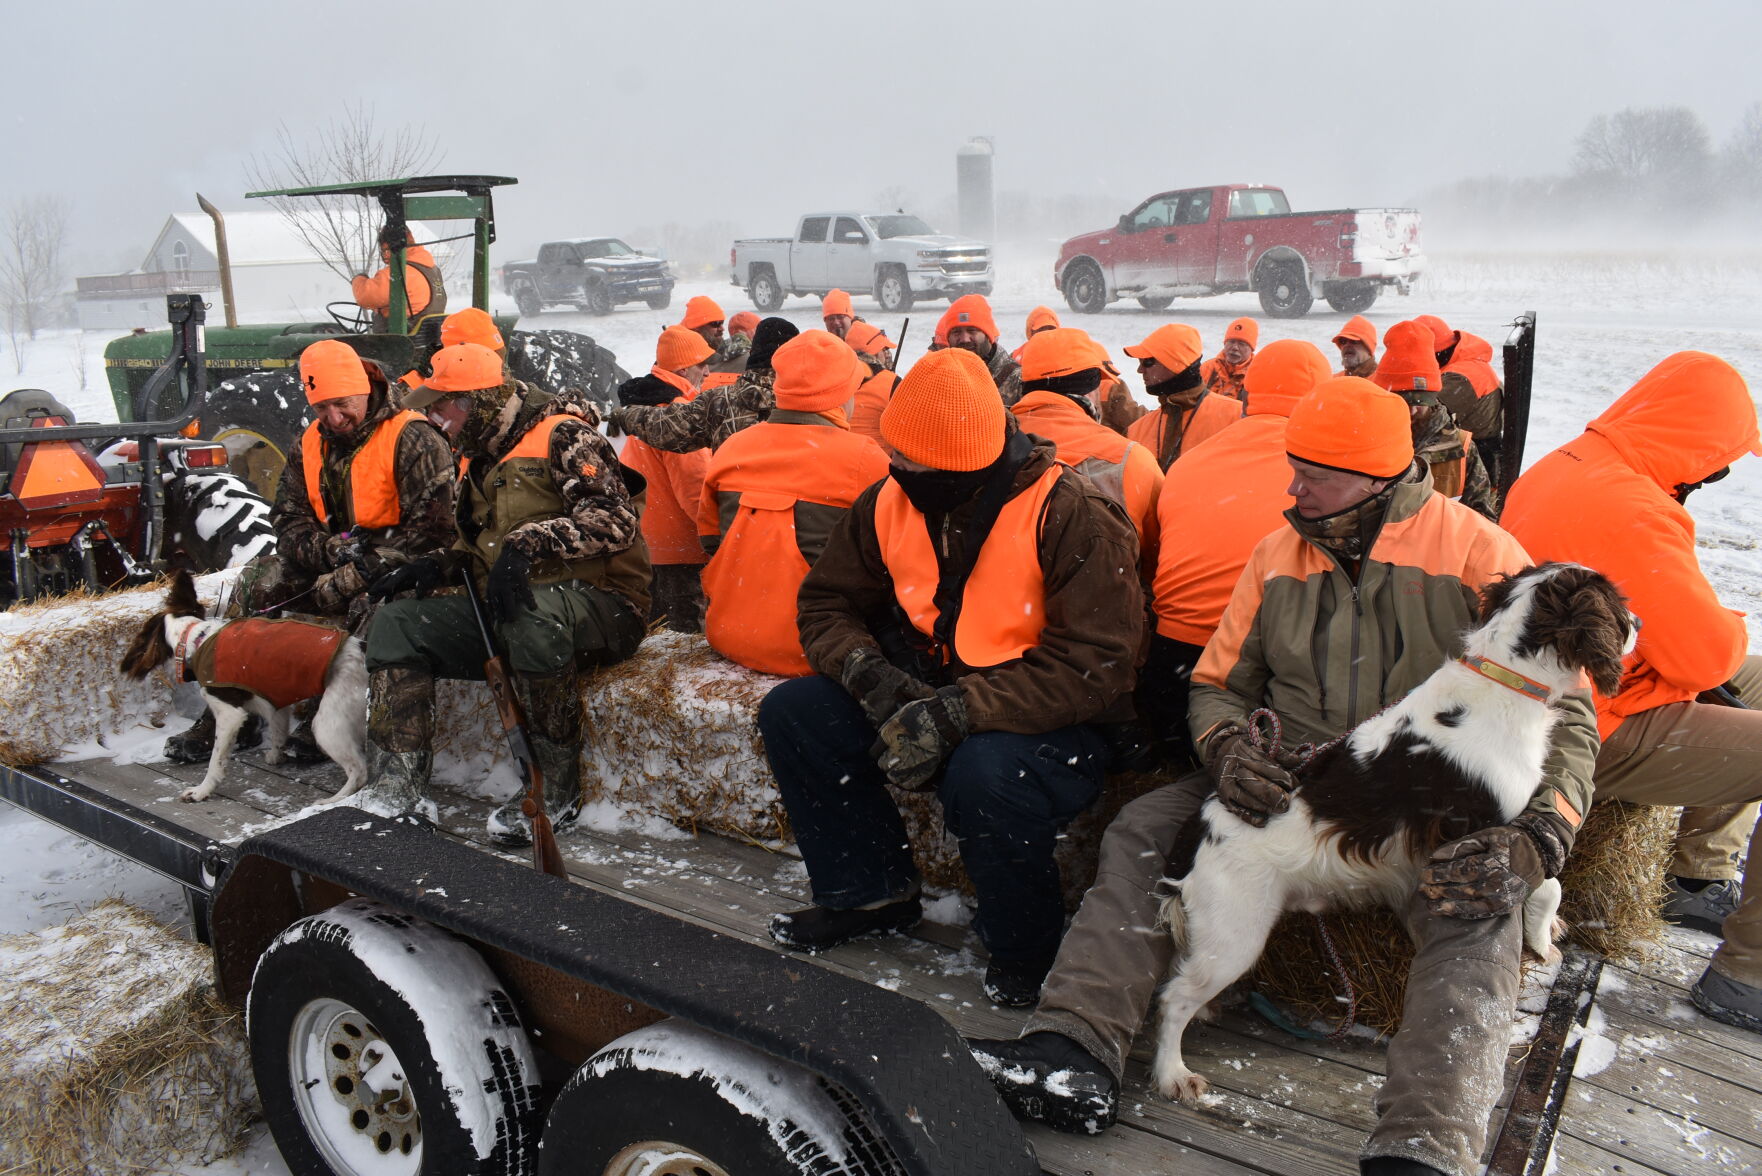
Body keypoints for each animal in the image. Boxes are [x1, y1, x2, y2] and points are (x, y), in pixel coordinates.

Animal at [119, 567, 368, 803]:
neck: (198, 639)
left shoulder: (229, 714)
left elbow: (216, 761)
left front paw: (202, 791)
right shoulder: (274, 700)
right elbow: (278, 733)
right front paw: (275, 757)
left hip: (328, 723)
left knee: (359, 771)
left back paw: (332, 799)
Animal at [1155, 560, 1635, 1107]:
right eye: (1619, 604)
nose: (1640, 624)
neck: (1504, 681)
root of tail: (1198, 830)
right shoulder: (1483, 829)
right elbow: (1548, 882)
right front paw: (1543, 935)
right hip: (1235, 934)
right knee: (1172, 999)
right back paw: (1173, 1073)